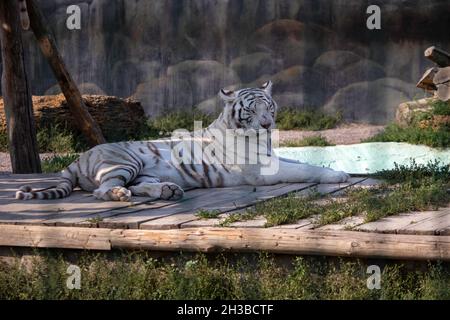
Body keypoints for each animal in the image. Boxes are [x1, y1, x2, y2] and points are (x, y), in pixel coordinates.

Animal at [15, 82, 350, 202]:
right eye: (252, 111)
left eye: (269, 107)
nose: (267, 124)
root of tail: (77, 158)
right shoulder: (261, 168)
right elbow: (305, 169)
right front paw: (339, 175)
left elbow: (301, 160)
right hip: (123, 162)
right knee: (102, 189)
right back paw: (121, 194)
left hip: (143, 172)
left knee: (140, 185)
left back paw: (168, 190)